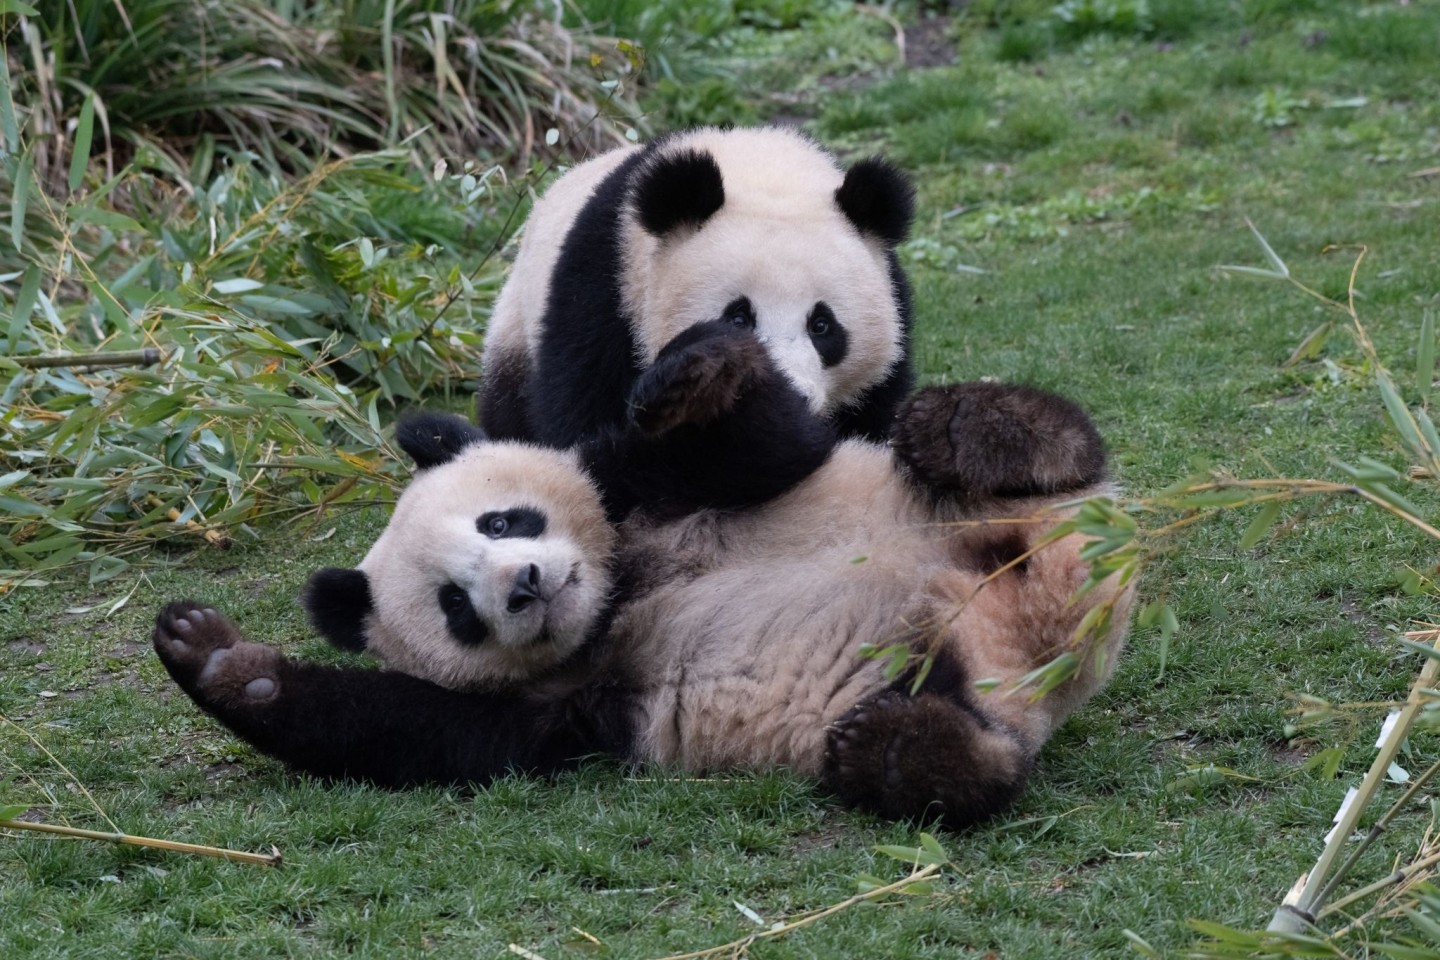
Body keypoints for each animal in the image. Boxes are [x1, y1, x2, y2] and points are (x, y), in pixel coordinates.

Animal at [151, 326, 1128, 829]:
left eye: (504, 521)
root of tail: (1045, 617)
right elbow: (425, 732)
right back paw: (904, 749)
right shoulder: (565, 702)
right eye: (456, 607)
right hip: (944, 671)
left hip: (995, 508)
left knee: (1055, 449)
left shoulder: (642, 487)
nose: (526, 585)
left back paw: (973, 431)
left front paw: (692, 373)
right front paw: (217, 659)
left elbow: (770, 444)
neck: (619, 592)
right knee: (981, 756)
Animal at [478, 125, 915, 449]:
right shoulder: (605, 293)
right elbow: (585, 413)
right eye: (738, 318)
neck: (760, 171)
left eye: (821, 325)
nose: (791, 397)